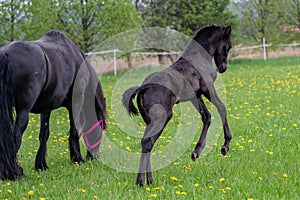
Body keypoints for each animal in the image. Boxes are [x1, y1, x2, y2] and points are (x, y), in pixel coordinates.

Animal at [0, 30, 107, 180]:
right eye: (101, 128)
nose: (94, 156)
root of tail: (5, 54)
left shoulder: (47, 108)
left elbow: (44, 134)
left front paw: (41, 165)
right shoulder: (76, 102)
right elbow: (74, 130)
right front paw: (77, 158)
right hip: (23, 110)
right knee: (15, 139)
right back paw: (14, 172)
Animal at [123, 24, 233, 186]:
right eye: (228, 46)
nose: (223, 68)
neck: (198, 58)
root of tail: (143, 87)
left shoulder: (195, 96)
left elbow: (206, 117)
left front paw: (196, 152)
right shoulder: (207, 89)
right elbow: (221, 108)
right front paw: (225, 146)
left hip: (149, 120)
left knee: (146, 142)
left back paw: (148, 180)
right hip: (163, 118)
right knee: (148, 143)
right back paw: (141, 181)